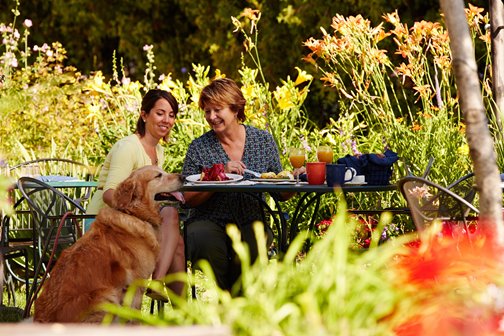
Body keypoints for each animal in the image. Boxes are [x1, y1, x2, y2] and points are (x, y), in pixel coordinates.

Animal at [35, 165, 185, 322]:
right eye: (158, 175)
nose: (183, 177)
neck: (134, 214)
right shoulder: (136, 284)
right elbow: (134, 316)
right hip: (105, 295)